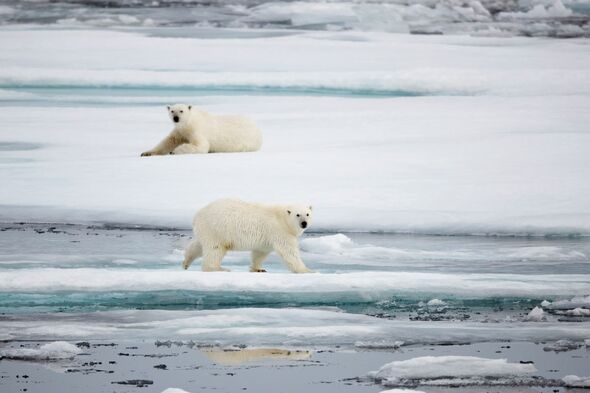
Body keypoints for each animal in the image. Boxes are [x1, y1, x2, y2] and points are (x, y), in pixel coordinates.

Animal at [184, 199, 314, 272]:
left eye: (307, 214)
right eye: (298, 214)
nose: (304, 223)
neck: (282, 219)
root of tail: (197, 215)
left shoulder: (266, 237)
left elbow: (260, 252)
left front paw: (258, 268)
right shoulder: (280, 231)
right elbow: (289, 252)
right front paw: (308, 271)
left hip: (207, 230)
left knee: (199, 246)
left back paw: (186, 262)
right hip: (217, 228)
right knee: (215, 249)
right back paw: (219, 268)